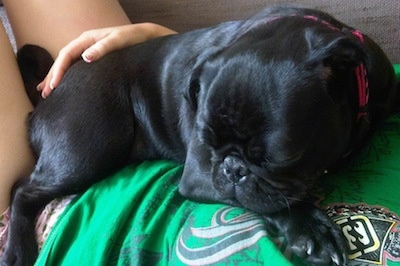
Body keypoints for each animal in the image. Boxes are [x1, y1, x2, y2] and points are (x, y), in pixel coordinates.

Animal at [1, 6, 398, 266]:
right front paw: (311, 229)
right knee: (23, 191)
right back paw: (17, 249)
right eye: (209, 143)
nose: (232, 168)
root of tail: (47, 94)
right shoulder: (199, 174)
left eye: (280, 158)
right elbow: (276, 202)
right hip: (90, 146)